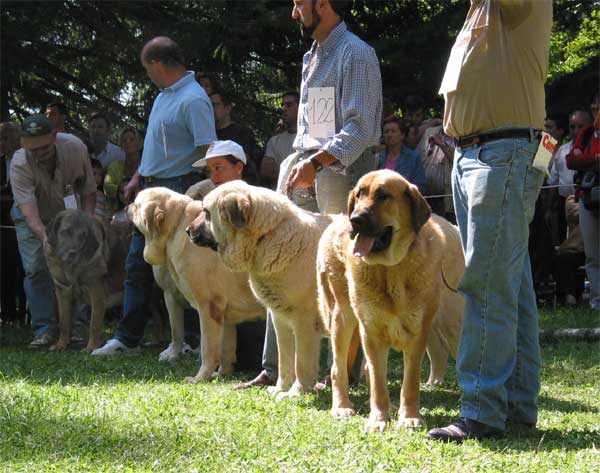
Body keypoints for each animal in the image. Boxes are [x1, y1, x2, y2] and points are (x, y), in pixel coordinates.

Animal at [43, 209, 130, 350]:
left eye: (82, 236)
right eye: (65, 232)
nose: (73, 253)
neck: (72, 268)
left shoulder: (97, 292)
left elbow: (94, 323)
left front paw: (92, 347)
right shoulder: (63, 291)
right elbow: (64, 322)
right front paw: (61, 345)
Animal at [318, 171, 464, 432]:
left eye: (383, 195)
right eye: (359, 194)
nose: (355, 220)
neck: (390, 269)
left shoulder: (417, 333)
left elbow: (410, 382)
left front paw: (409, 417)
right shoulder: (371, 333)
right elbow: (378, 381)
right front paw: (378, 419)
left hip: (452, 319)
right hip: (342, 317)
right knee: (338, 369)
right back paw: (342, 407)